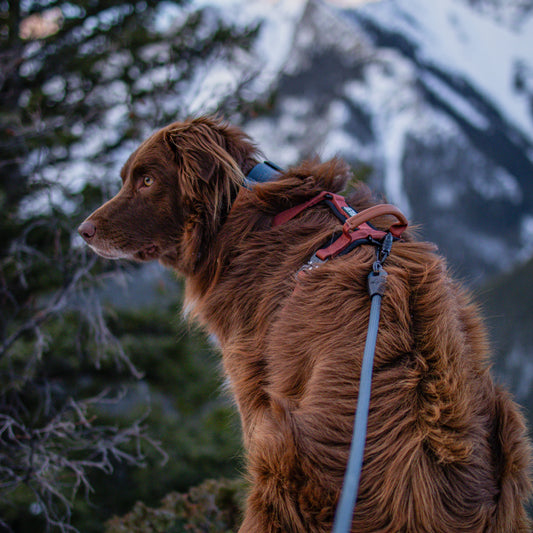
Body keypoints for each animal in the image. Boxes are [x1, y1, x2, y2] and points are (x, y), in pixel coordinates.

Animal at [80, 117, 532, 532]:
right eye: (126, 178)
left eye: (148, 180)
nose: (82, 231)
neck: (242, 206)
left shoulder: (254, 391)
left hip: (278, 465)